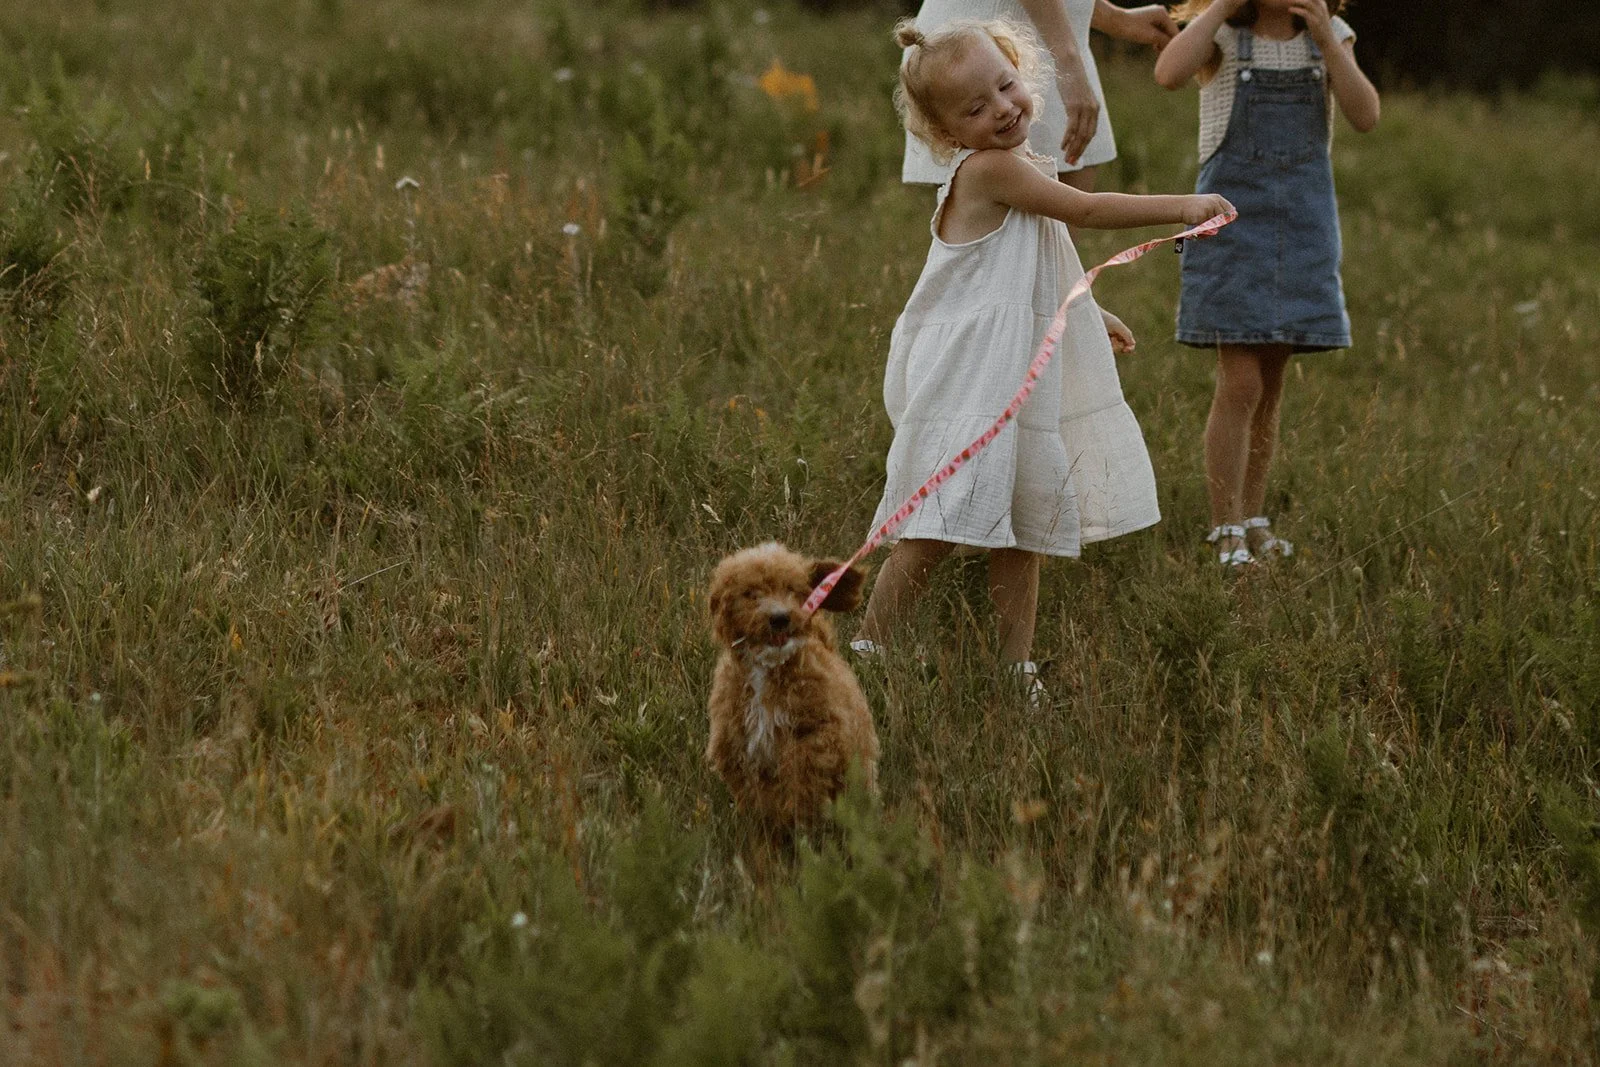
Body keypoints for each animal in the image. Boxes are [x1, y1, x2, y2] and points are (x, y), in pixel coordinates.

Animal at [706, 542, 877, 833]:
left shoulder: (820, 734)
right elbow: (759, 799)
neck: (768, 669)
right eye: (750, 593)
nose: (780, 618)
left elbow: (801, 779)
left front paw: (795, 821)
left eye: (791, 589)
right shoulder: (737, 745)